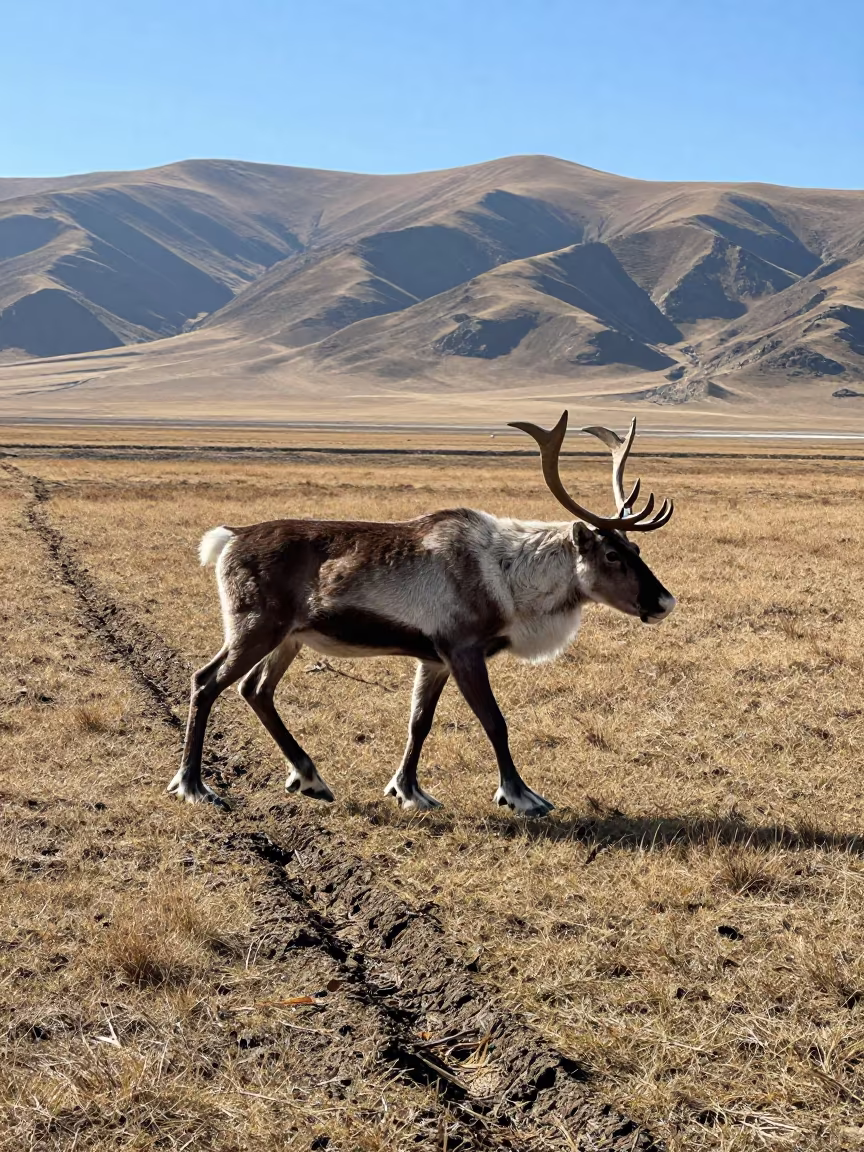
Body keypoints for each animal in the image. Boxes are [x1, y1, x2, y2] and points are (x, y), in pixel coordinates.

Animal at [167, 412, 676, 818]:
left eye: (636, 549)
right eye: (612, 554)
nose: (664, 601)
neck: (508, 577)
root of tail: (231, 536)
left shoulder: (433, 658)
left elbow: (419, 722)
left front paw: (408, 790)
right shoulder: (464, 650)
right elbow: (495, 721)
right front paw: (521, 795)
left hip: (289, 638)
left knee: (255, 690)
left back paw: (309, 777)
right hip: (254, 627)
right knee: (206, 682)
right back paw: (193, 785)